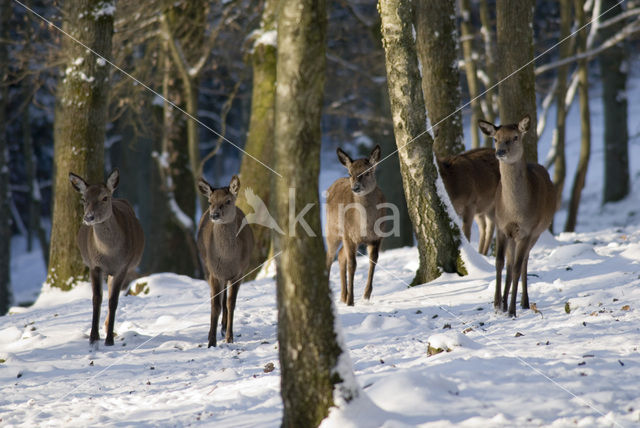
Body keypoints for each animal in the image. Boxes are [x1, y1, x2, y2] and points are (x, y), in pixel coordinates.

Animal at [69, 169, 144, 346]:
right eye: (84, 199)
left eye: (104, 197)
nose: (88, 217)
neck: (108, 254)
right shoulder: (94, 265)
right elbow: (97, 298)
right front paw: (93, 337)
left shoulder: (122, 267)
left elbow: (113, 301)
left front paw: (109, 339)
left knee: (111, 293)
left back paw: (108, 327)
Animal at [196, 175, 254, 348]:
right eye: (210, 201)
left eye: (228, 201)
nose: (214, 214)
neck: (227, 260)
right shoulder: (214, 272)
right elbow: (215, 305)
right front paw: (211, 341)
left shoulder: (239, 273)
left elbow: (231, 303)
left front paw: (229, 337)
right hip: (206, 268)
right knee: (216, 300)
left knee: (225, 300)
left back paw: (223, 328)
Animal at [324, 145, 384, 306]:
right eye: (350, 173)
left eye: (367, 172)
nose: (355, 187)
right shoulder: (348, 235)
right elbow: (352, 264)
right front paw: (351, 301)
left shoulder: (378, 236)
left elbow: (373, 260)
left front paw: (366, 295)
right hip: (332, 230)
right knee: (329, 257)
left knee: (340, 256)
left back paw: (342, 296)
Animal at [478, 115, 556, 316]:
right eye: (495, 138)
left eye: (515, 137)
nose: (500, 152)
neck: (514, 212)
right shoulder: (501, 227)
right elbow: (499, 262)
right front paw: (497, 304)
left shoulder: (527, 230)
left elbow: (517, 267)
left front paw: (512, 310)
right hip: (513, 236)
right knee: (510, 261)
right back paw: (505, 302)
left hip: (536, 232)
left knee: (523, 262)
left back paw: (523, 302)